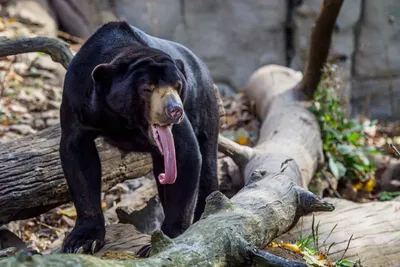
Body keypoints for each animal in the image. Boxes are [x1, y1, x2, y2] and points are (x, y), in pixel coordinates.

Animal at [60, 20, 219, 253]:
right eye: (147, 88)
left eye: (178, 86)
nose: (175, 110)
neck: (126, 120)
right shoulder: (77, 98)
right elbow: (78, 156)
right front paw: (81, 242)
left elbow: (185, 153)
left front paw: (163, 241)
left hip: (204, 106)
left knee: (207, 166)